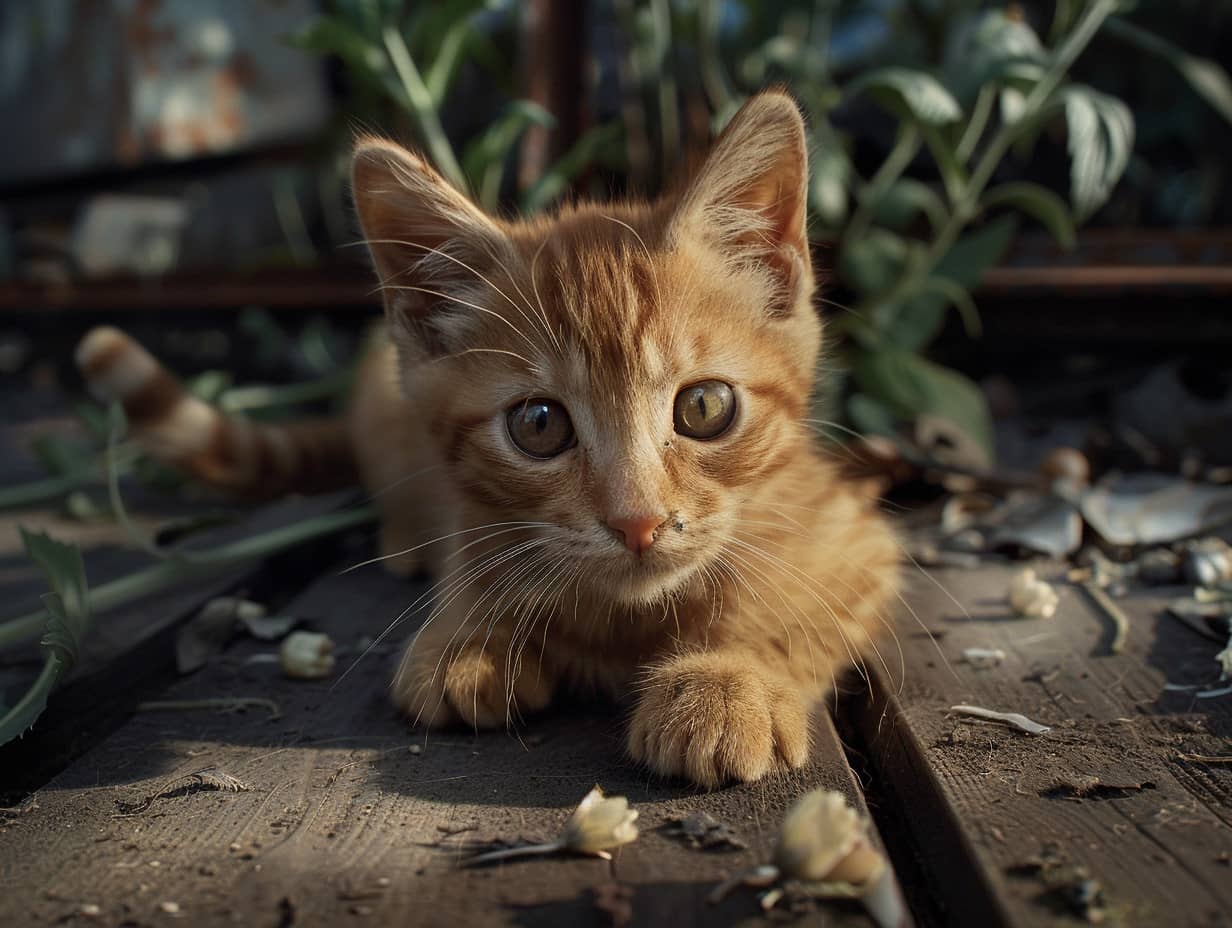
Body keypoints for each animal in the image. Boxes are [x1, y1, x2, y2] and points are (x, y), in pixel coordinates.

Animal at [79, 94, 906, 783]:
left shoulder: (849, 532)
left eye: (704, 407)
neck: (629, 617)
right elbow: (476, 556)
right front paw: (471, 634)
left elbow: (785, 602)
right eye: (538, 426)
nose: (636, 522)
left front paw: (727, 679)